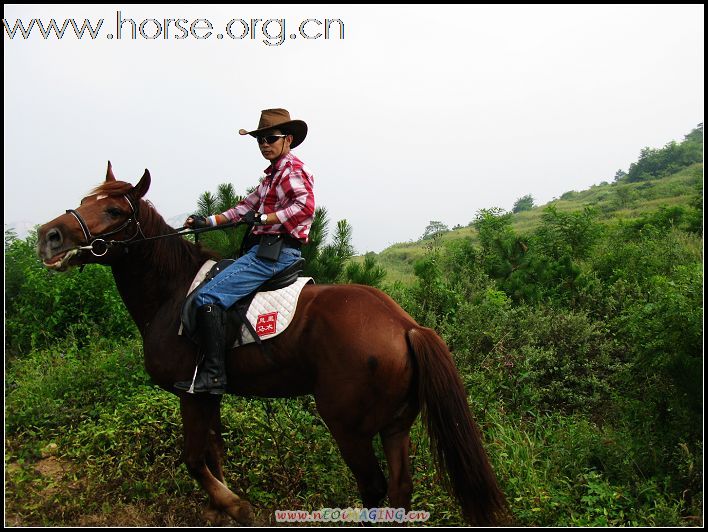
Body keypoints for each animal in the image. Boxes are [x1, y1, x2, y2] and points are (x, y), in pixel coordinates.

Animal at [37, 164, 508, 524]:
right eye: (85, 200)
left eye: (114, 209)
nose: (48, 236)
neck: (171, 293)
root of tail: (405, 326)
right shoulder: (209, 393)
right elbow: (214, 452)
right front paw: (221, 507)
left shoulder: (190, 393)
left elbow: (193, 457)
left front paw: (234, 505)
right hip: (396, 425)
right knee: (399, 489)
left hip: (348, 427)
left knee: (373, 487)